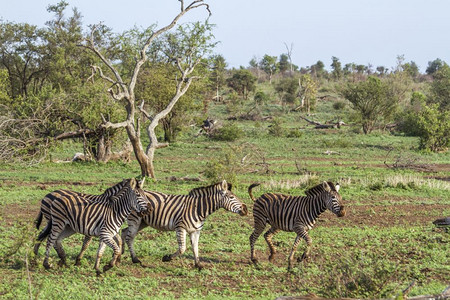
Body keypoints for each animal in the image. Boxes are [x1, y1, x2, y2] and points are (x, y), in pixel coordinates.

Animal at [119, 180, 248, 270]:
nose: (246, 209)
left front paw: (198, 265)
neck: (198, 209)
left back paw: (120, 253)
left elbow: (195, 247)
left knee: (124, 232)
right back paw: (135, 259)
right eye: (231, 197)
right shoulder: (180, 228)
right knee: (130, 237)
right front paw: (167, 258)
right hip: (135, 220)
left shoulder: (196, 230)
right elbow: (182, 249)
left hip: (143, 222)